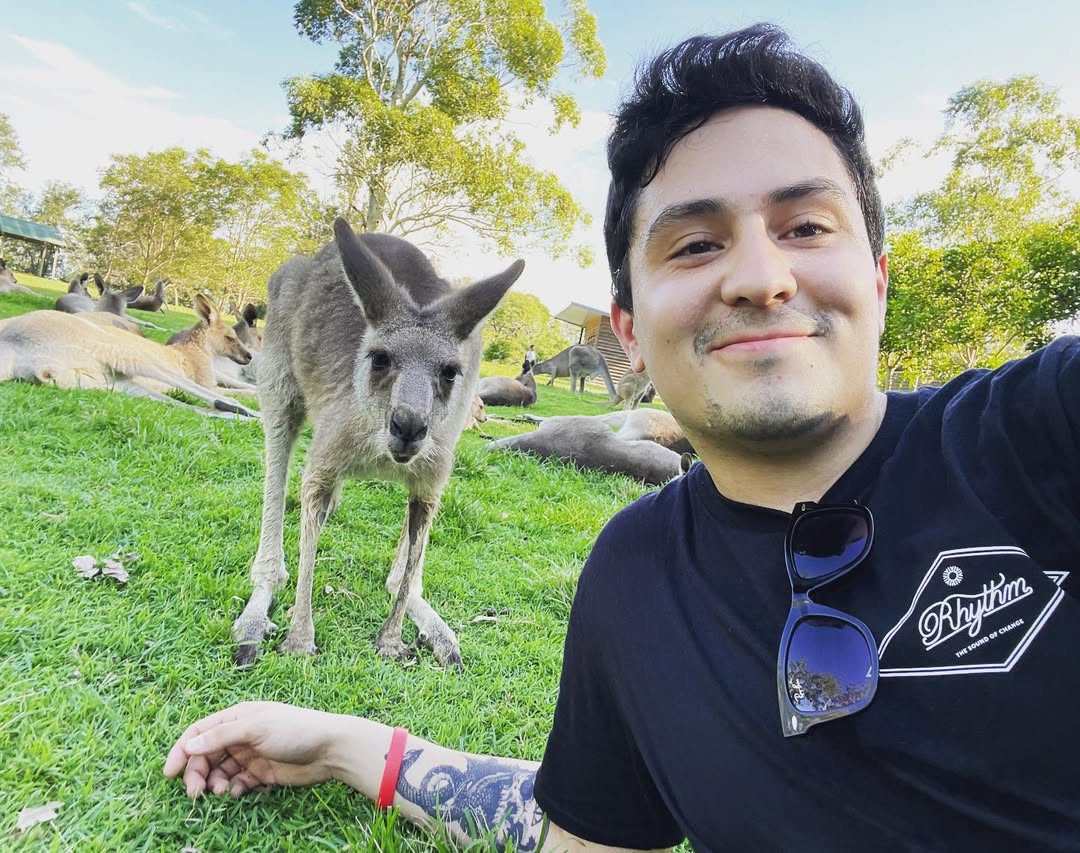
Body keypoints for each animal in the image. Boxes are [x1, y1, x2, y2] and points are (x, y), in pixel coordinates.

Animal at [0, 295, 257, 418]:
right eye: (230, 337)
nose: (248, 357)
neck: (197, 350)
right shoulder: (205, 378)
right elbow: (228, 391)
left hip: (107, 382)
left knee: (193, 407)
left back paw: (249, 419)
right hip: (125, 353)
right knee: (216, 400)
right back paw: (253, 415)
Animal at [231, 218, 522, 669]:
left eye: (449, 372)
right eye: (381, 358)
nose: (409, 426)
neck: (380, 449)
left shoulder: (430, 477)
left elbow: (413, 547)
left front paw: (390, 640)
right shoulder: (325, 458)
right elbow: (309, 535)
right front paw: (300, 641)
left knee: (404, 571)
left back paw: (438, 632)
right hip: (277, 366)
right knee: (277, 457)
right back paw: (254, 619)